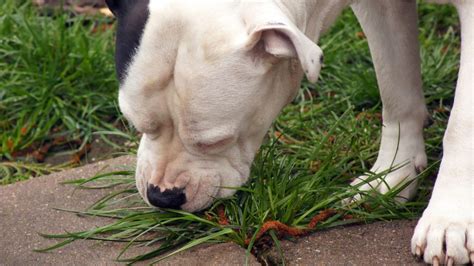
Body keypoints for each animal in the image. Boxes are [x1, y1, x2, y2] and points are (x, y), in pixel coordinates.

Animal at [105, 0, 472, 264]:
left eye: (216, 141)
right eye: (135, 124)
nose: (162, 196)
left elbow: (462, 125)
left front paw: (450, 217)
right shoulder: (382, 9)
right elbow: (395, 89)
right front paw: (392, 175)